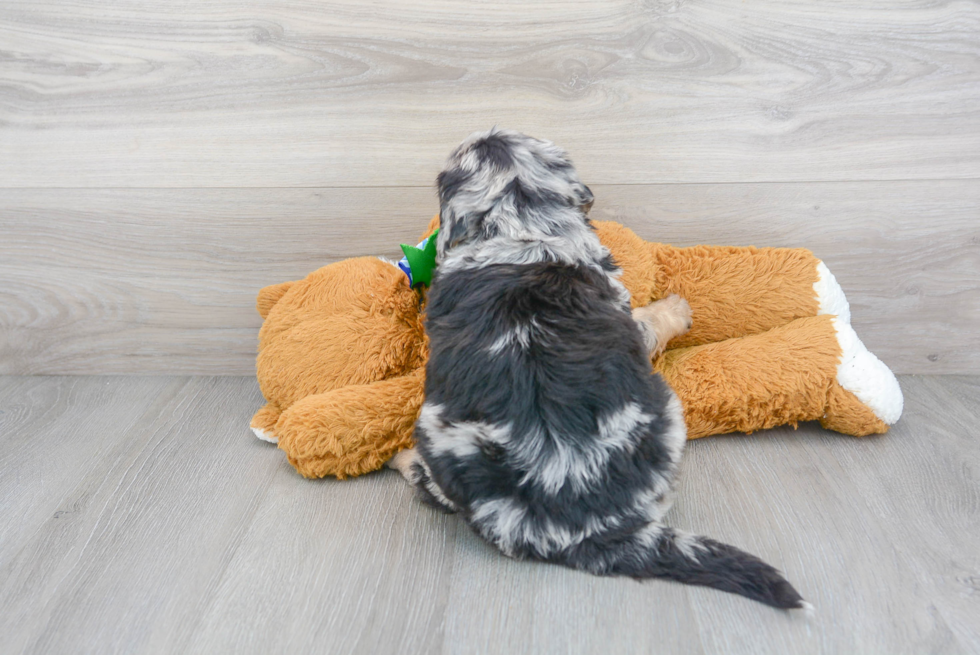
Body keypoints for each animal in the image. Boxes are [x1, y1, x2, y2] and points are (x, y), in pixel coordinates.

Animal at [390, 127, 812, 608]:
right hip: (666, 413)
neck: (522, 227)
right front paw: (679, 308)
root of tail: (579, 525)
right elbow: (651, 320)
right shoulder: (625, 312)